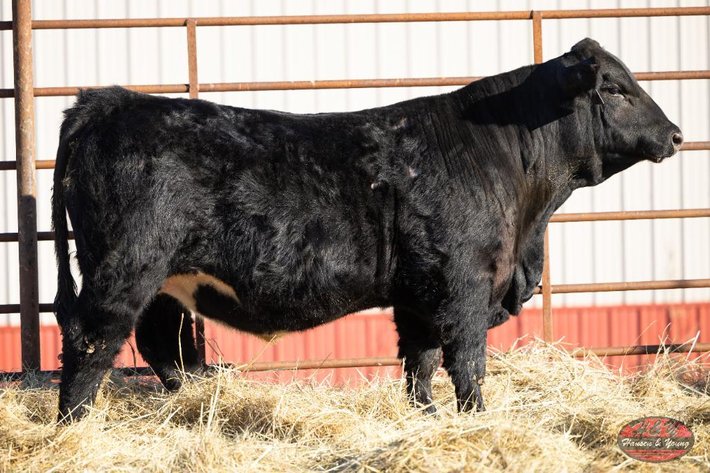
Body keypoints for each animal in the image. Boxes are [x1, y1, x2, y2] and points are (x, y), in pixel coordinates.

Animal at [52, 38, 682, 421]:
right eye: (615, 88)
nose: (676, 133)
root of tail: (108, 102)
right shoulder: (464, 284)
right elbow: (467, 362)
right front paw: (475, 419)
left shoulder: (420, 293)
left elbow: (419, 361)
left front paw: (428, 419)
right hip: (125, 267)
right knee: (91, 339)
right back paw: (74, 424)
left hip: (161, 279)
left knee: (160, 344)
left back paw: (193, 403)